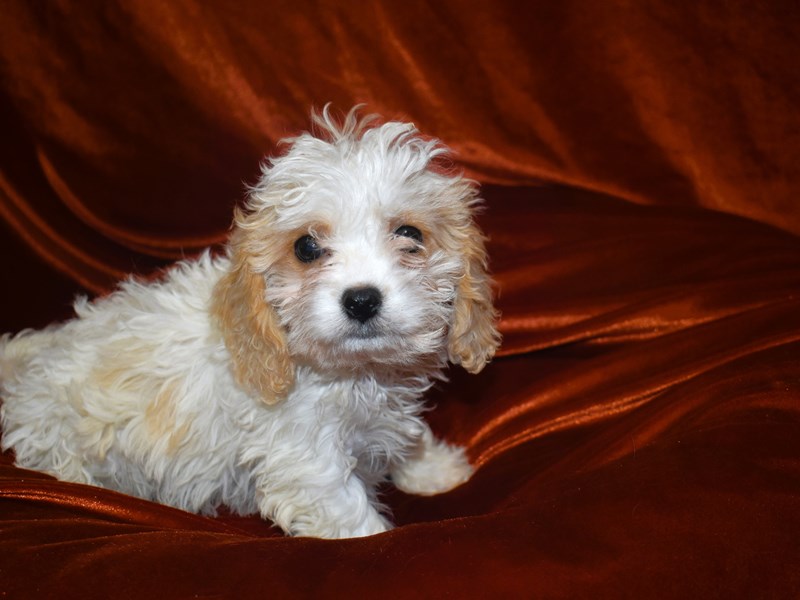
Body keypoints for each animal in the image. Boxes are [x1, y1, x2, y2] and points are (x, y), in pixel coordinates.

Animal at [0, 108, 500, 540]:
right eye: (306, 248)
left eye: (410, 235)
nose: (361, 300)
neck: (356, 374)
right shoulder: (306, 464)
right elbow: (352, 516)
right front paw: (382, 540)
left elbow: (407, 436)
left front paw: (434, 468)